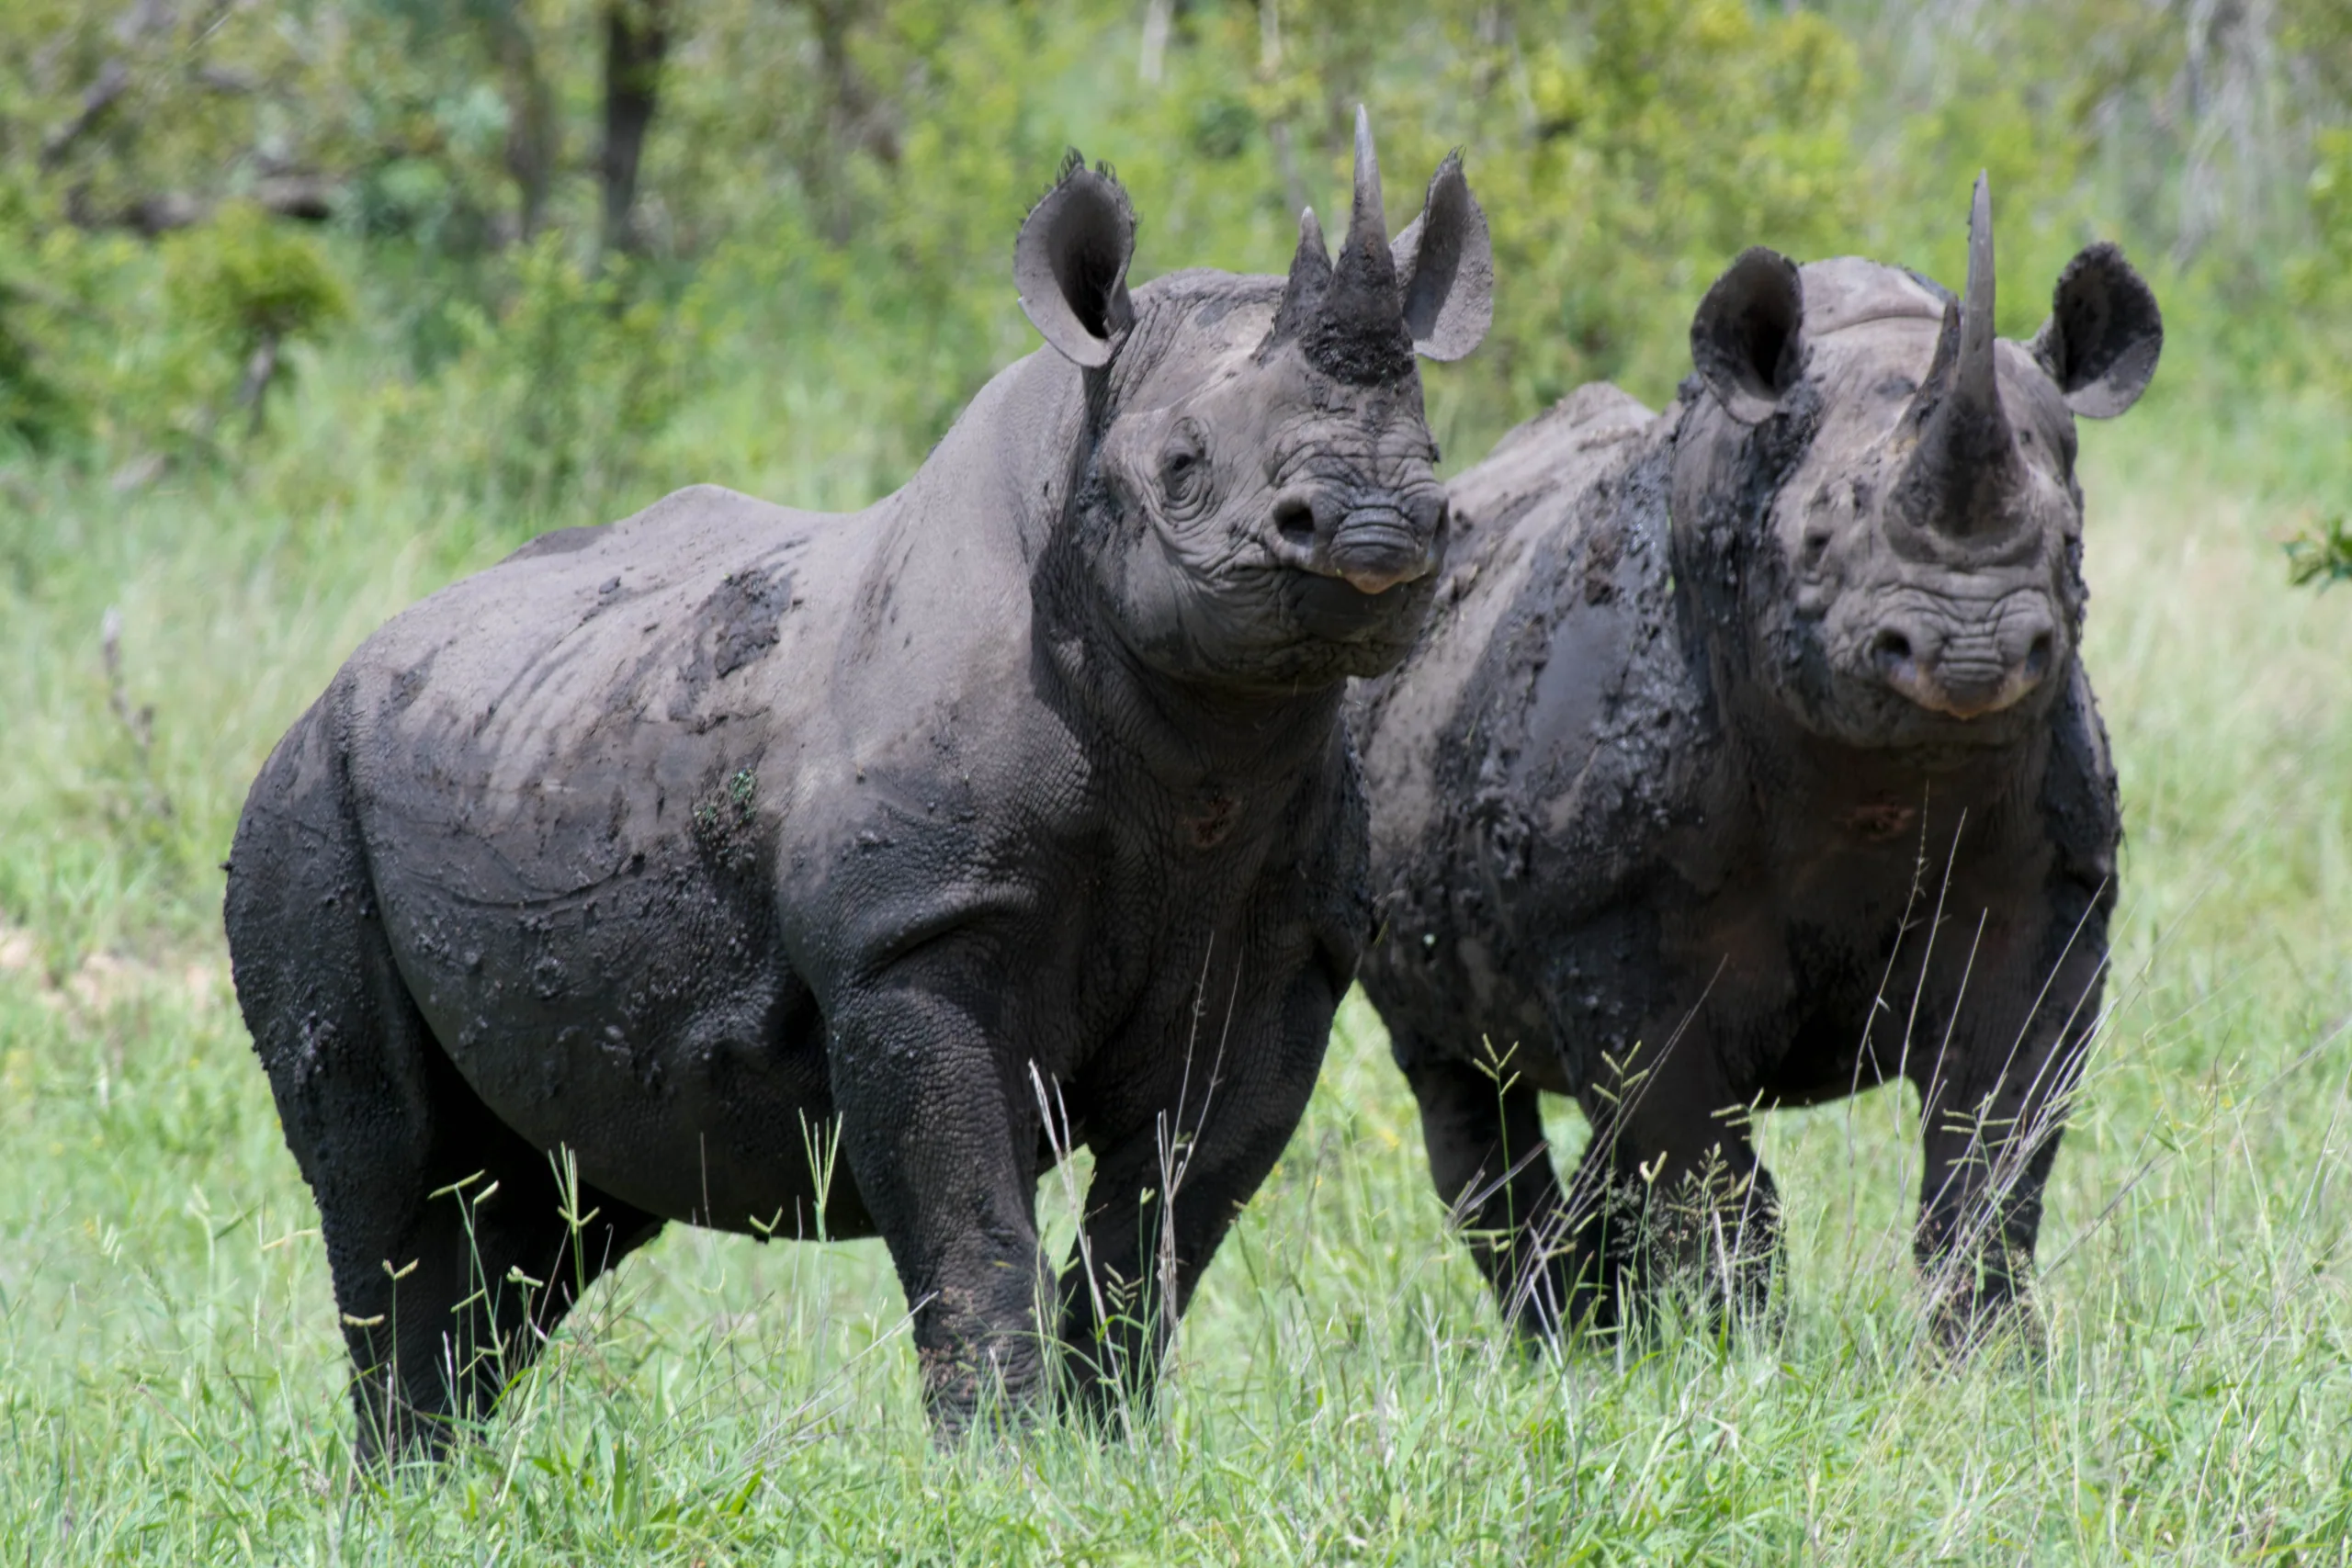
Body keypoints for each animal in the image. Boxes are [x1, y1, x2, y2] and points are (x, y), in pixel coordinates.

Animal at [225, 113, 1492, 1457]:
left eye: (1433, 453)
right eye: (1184, 466)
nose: (1373, 528)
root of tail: (346, 671)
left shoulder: (1279, 957)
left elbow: (1165, 1224)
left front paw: (1111, 1446)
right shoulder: (911, 938)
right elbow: (969, 1213)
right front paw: (1002, 1459)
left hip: (505, 742)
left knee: (548, 1206)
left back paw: (442, 1468)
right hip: (311, 792)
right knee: (389, 1178)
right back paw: (401, 1466)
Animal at [1354, 178, 2159, 1346]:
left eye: (2067, 546)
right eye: (1816, 546)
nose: (1971, 650)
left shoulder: (2048, 893)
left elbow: (1995, 1144)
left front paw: (1988, 1357)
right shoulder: (1606, 925)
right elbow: (1693, 1157)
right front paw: (1739, 1352)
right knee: (1458, 1084)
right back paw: (1562, 1345)